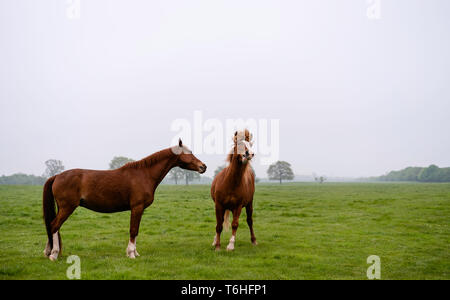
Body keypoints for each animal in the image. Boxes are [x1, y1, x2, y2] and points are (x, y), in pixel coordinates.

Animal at [42, 140, 206, 260]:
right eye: (189, 153)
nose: (203, 166)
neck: (144, 174)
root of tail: (57, 176)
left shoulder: (139, 209)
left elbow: (136, 230)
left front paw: (135, 252)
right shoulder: (137, 207)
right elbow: (133, 230)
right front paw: (131, 254)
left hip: (62, 208)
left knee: (52, 226)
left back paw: (49, 252)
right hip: (67, 207)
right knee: (54, 225)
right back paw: (53, 254)